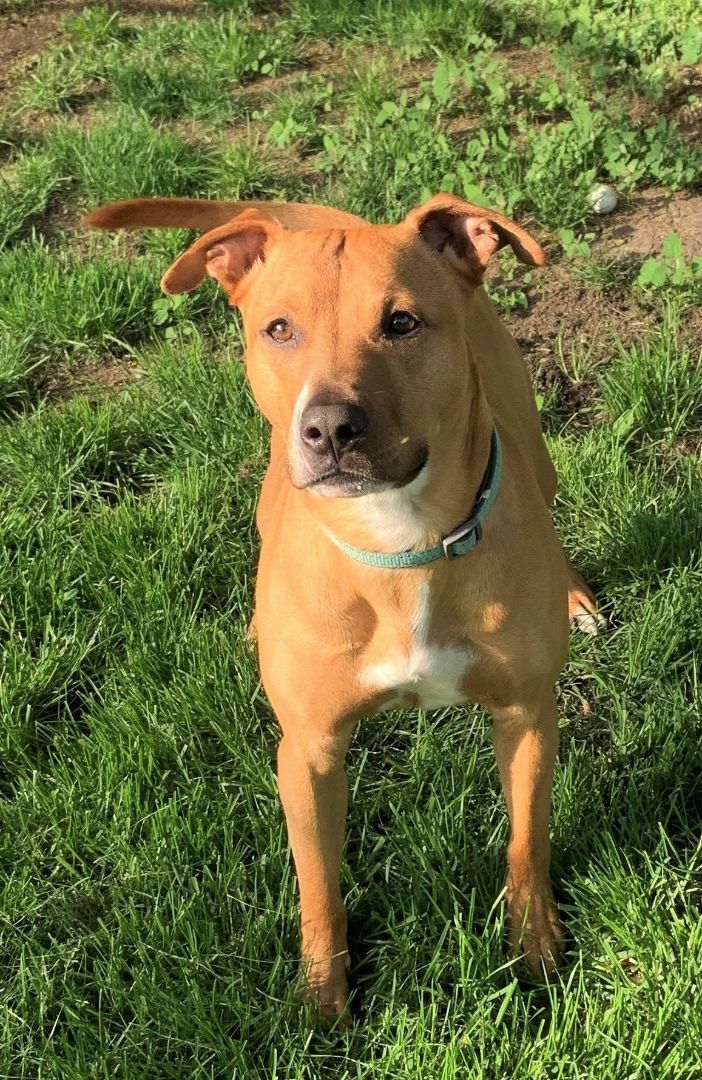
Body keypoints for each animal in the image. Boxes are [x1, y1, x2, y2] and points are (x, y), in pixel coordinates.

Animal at [84, 194, 600, 1010]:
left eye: (402, 322)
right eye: (279, 329)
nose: (329, 427)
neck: (400, 544)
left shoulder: (526, 716)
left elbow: (527, 840)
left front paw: (537, 947)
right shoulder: (311, 752)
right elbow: (319, 884)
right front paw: (322, 1003)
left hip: (533, 444)